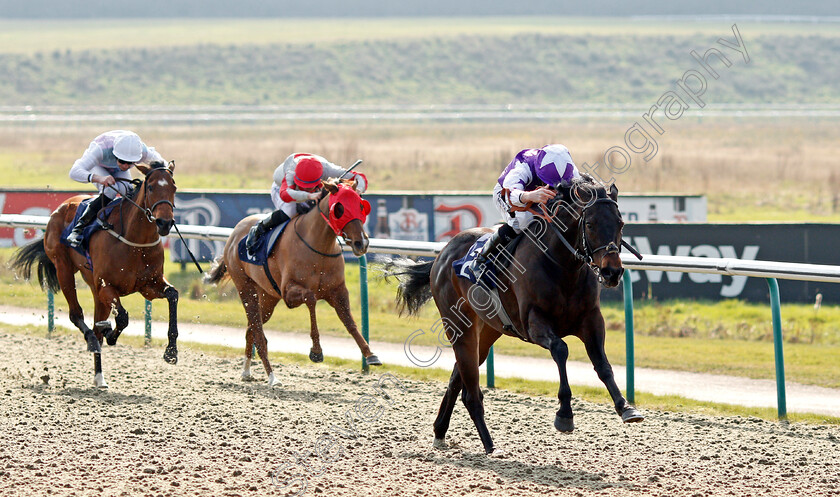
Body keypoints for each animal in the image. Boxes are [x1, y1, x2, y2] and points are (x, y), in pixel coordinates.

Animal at [11, 163, 180, 388]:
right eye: (151, 187)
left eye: (173, 187)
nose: (164, 223)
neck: (135, 242)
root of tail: (61, 206)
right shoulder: (106, 286)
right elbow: (123, 318)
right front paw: (110, 334)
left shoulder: (148, 286)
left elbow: (173, 294)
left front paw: (171, 352)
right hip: (64, 269)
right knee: (77, 316)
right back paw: (93, 339)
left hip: (95, 290)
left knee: (96, 324)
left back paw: (99, 376)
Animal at [205, 179, 382, 388]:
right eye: (339, 208)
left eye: (361, 205)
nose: (361, 243)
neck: (319, 247)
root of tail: (233, 235)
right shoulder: (289, 293)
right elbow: (311, 299)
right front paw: (316, 351)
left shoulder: (338, 291)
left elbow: (350, 322)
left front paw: (370, 354)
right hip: (245, 288)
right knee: (258, 331)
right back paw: (272, 377)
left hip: (267, 296)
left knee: (251, 329)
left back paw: (247, 371)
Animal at [388, 178, 644, 454]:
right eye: (590, 224)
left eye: (620, 223)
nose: (612, 272)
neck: (563, 266)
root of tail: (442, 254)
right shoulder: (533, 323)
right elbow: (561, 349)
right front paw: (564, 414)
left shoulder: (591, 320)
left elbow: (602, 364)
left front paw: (626, 407)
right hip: (458, 326)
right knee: (471, 391)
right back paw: (490, 447)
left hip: (488, 330)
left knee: (459, 377)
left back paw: (440, 432)